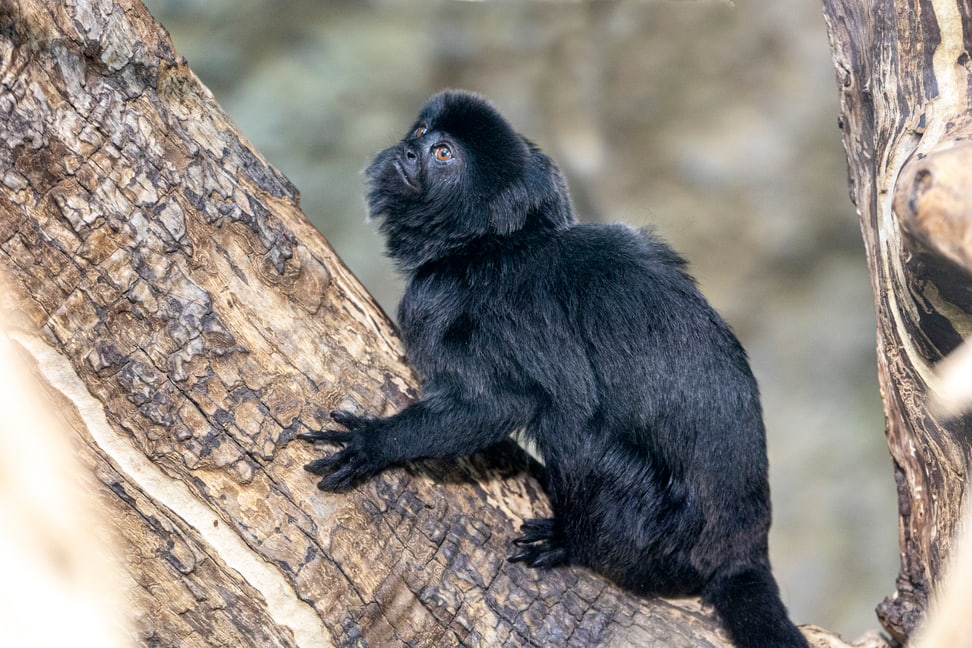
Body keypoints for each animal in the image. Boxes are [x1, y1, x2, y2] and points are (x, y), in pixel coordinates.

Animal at [300, 91, 808, 648]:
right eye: (420, 133)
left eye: (442, 154)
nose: (409, 152)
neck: (490, 245)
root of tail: (740, 548)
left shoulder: (464, 308)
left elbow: (501, 404)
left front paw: (376, 443)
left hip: (663, 535)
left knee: (574, 431)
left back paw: (575, 543)